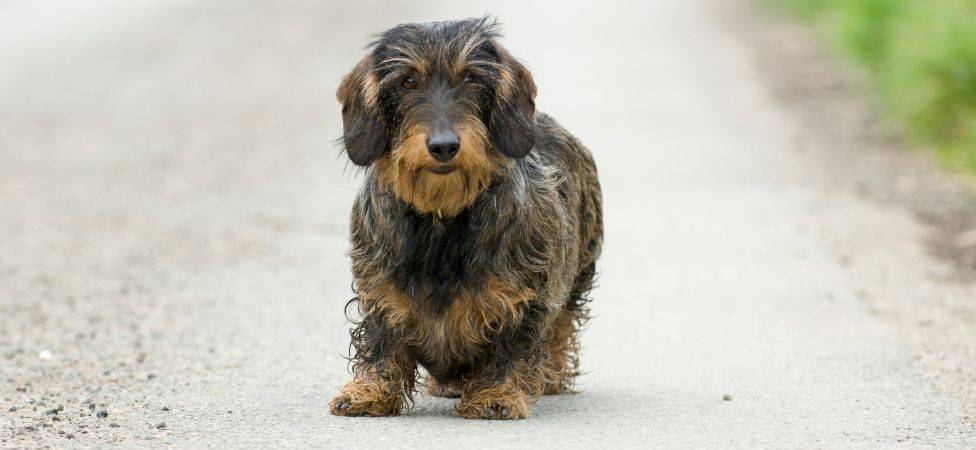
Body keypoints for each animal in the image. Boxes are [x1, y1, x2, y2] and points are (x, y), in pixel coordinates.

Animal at [330, 16, 604, 418]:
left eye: (472, 78)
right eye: (407, 81)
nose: (444, 146)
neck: (442, 218)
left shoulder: (523, 298)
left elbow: (510, 345)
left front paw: (497, 394)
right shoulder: (381, 293)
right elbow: (382, 340)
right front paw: (369, 391)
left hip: (578, 273)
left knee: (561, 326)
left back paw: (550, 376)